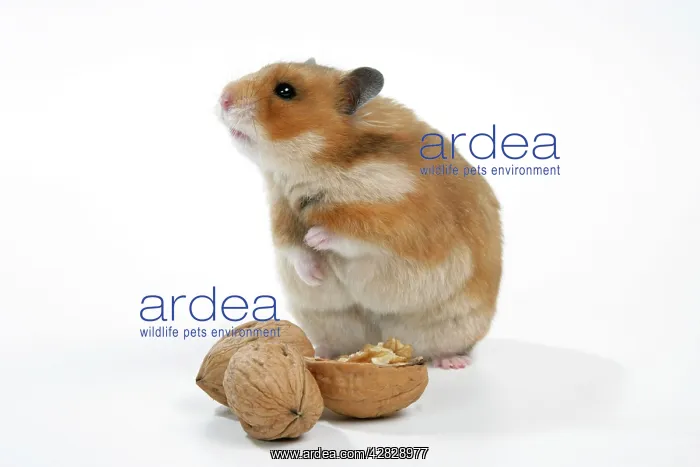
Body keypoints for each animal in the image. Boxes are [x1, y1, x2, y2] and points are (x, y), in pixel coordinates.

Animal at [216, 58, 502, 369]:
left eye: (285, 91)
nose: (223, 98)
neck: (313, 164)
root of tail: (381, 339)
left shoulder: (397, 220)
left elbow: (349, 233)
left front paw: (315, 237)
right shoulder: (281, 212)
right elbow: (294, 249)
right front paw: (315, 275)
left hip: (455, 324)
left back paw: (453, 362)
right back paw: (321, 355)